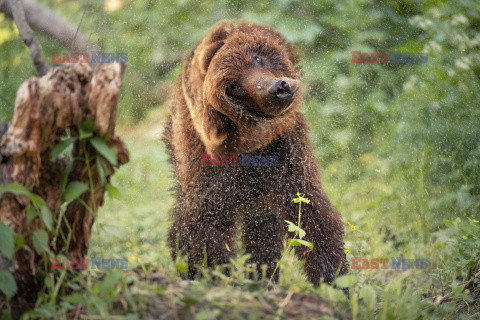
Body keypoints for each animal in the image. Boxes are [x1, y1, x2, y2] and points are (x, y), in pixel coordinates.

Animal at [163, 20, 346, 284]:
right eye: (235, 87)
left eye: (257, 58)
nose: (278, 88)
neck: (250, 147)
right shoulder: (207, 170)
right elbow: (206, 223)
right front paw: (217, 272)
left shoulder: (286, 151)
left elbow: (310, 212)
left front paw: (333, 278)